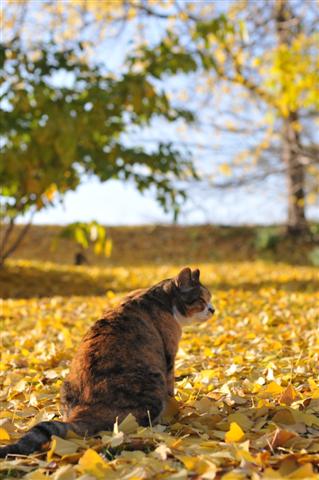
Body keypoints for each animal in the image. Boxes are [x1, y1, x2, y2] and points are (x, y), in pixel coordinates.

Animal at [1, 266, 215, 458]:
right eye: (201, 300)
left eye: (209, 299)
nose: (213, 309)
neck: (159, 298)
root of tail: (84, 409)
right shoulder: (169, 357)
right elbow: (171, 388)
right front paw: (174, 411)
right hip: (153, 382)